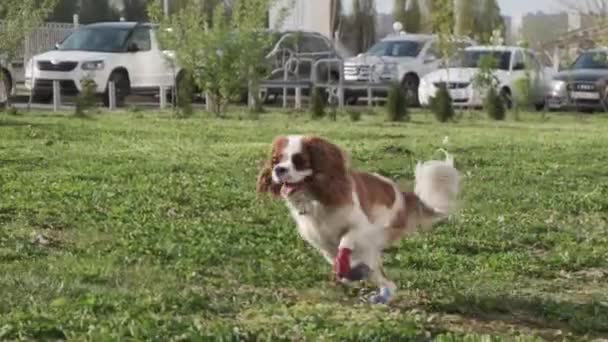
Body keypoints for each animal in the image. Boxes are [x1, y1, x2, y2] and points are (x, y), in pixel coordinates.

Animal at [255, 135, 460, 304]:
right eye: (275, 160)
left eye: (299, 161)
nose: (278, 169)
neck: (315, 198)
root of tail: (404, 195)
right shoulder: (324, 246)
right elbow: (339, 263)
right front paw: (351, 272)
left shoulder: (362, 228)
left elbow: (345, 242)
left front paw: (351, 268)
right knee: (384, 279)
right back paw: (381, 294)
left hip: (377, 234)